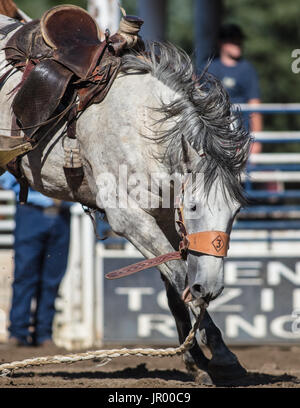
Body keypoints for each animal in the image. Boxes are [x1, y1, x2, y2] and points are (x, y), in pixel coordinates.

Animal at [0, 15, 251, 380]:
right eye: (193, 206)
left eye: (235, 212)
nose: (211, 289)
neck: (142, 127)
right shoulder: (129, 218)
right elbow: (179, 275)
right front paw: (219, 352)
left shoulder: (165, 216)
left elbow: (174, 286)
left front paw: (196, 361)